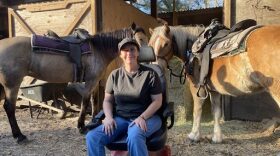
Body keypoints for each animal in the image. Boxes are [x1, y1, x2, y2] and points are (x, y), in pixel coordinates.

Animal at [0, 22, 148, 143]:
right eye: (140, 39)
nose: (146, 58)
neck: (98, 49)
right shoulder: (90, 81)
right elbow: (85, 103)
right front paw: (81, 126)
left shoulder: (94, 82)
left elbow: (94, 102)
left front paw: (93, 122)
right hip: (12, 84)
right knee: (9, 107)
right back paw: (19, 136)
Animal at [149, 22, 280, 143]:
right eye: (150, 45)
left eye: (166, 43)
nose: (156, 67)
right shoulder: (214, 91)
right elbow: (216, 112)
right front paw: (217, 137)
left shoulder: (198, 88)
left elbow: (197, 110)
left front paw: (194, 135)